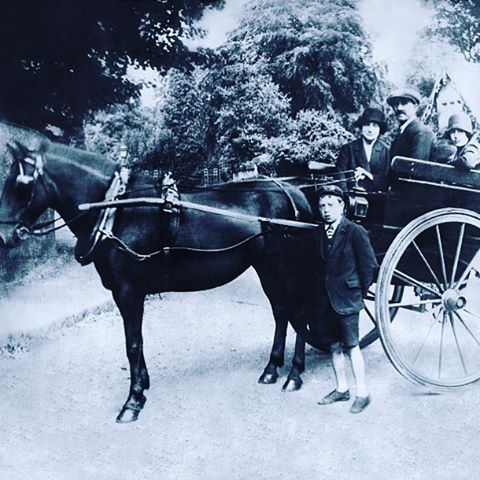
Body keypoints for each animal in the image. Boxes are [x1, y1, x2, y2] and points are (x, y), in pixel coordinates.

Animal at [0, 133, 324, 422]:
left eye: (21, 183)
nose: (4, 237)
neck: (115, 210)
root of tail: (294, 191)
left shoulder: (128, 291)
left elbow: (133, 344)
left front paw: (132, 401)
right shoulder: (126, 293)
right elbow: (136, 343)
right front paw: (142, 387)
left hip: (287, 266)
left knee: (298, 313)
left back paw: (294, 374)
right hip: (266, 267)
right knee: (281, 312)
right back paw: (271, 369)